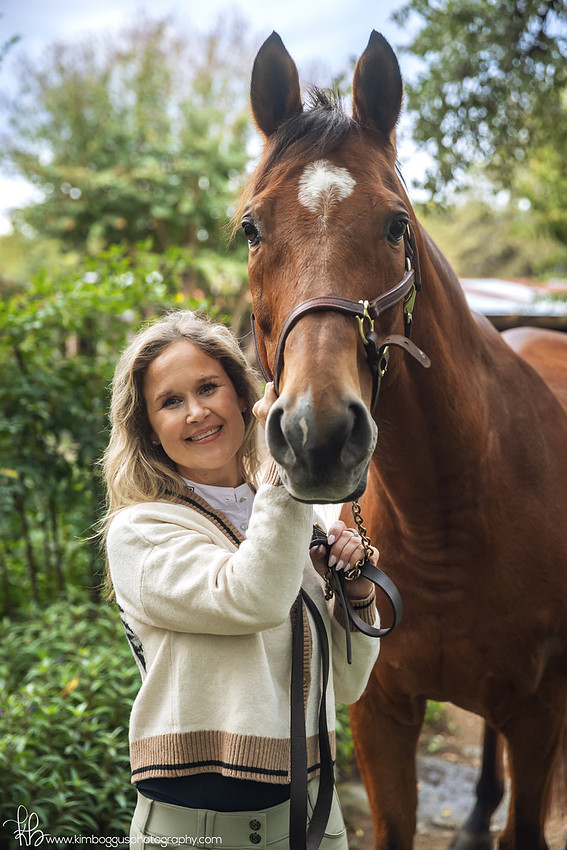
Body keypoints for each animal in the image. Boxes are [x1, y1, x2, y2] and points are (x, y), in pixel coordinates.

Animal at [241, 30, 567, 850]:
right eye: (251, 228)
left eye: (397, 224)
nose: (317, 433)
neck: (446, 515)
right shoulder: (379, 713)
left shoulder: (540, 713)